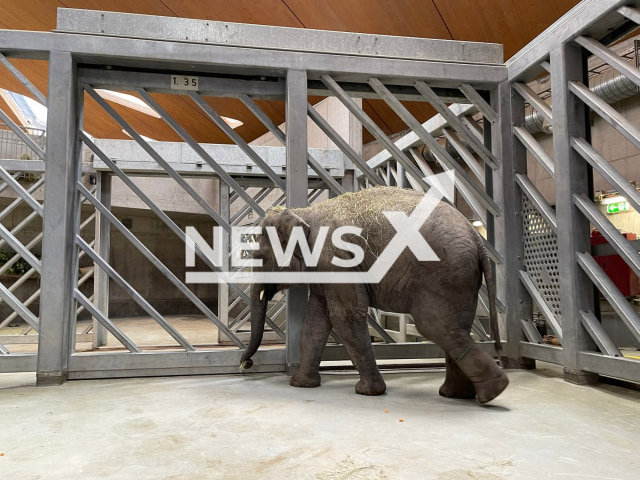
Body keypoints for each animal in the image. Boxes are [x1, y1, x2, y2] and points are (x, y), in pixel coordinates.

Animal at [238, 186, 508, 404]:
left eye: (259, 257)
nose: (245, 364)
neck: (302, 212)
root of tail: (478, 239)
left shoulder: (335, 257)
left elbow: (344, 316)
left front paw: (367, 392)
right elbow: (317, 319)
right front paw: (301, 385)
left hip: (445, 270)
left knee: (434, 325)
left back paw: (492, 392)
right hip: (463, 278)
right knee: (455, 326)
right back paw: (457, 395)